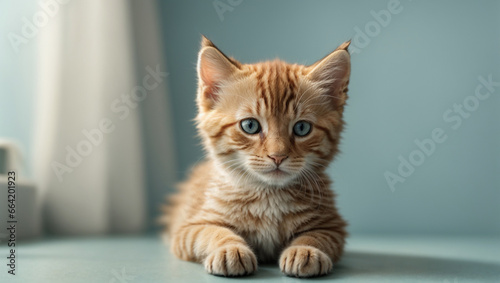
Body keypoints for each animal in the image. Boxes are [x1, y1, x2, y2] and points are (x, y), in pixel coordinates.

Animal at [162, 36, 350, 278]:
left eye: (301, 128)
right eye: (250, 125)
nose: (278, 156)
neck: (268, 196)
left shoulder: (333, 227)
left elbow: (317, 236)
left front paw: (306, 250)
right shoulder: (188, 228)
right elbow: (211, 232)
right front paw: (229, 249)